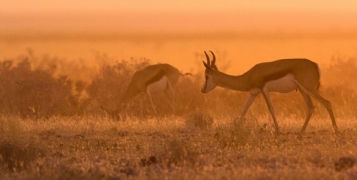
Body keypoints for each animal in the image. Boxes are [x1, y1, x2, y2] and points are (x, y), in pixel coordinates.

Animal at [202, 50, 338, 136]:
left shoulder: (264, 90)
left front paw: (278, 132)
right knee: (310, 107)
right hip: (303, 90)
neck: (250, 74)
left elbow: (271, 108)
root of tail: (316, 65)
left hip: (309, 89)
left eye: (206, 76)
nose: (202, 90)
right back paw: (300, 134)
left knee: (327, 103)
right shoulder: (254, 93)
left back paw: (336, 131)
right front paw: (234, 131)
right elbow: (244, 110)